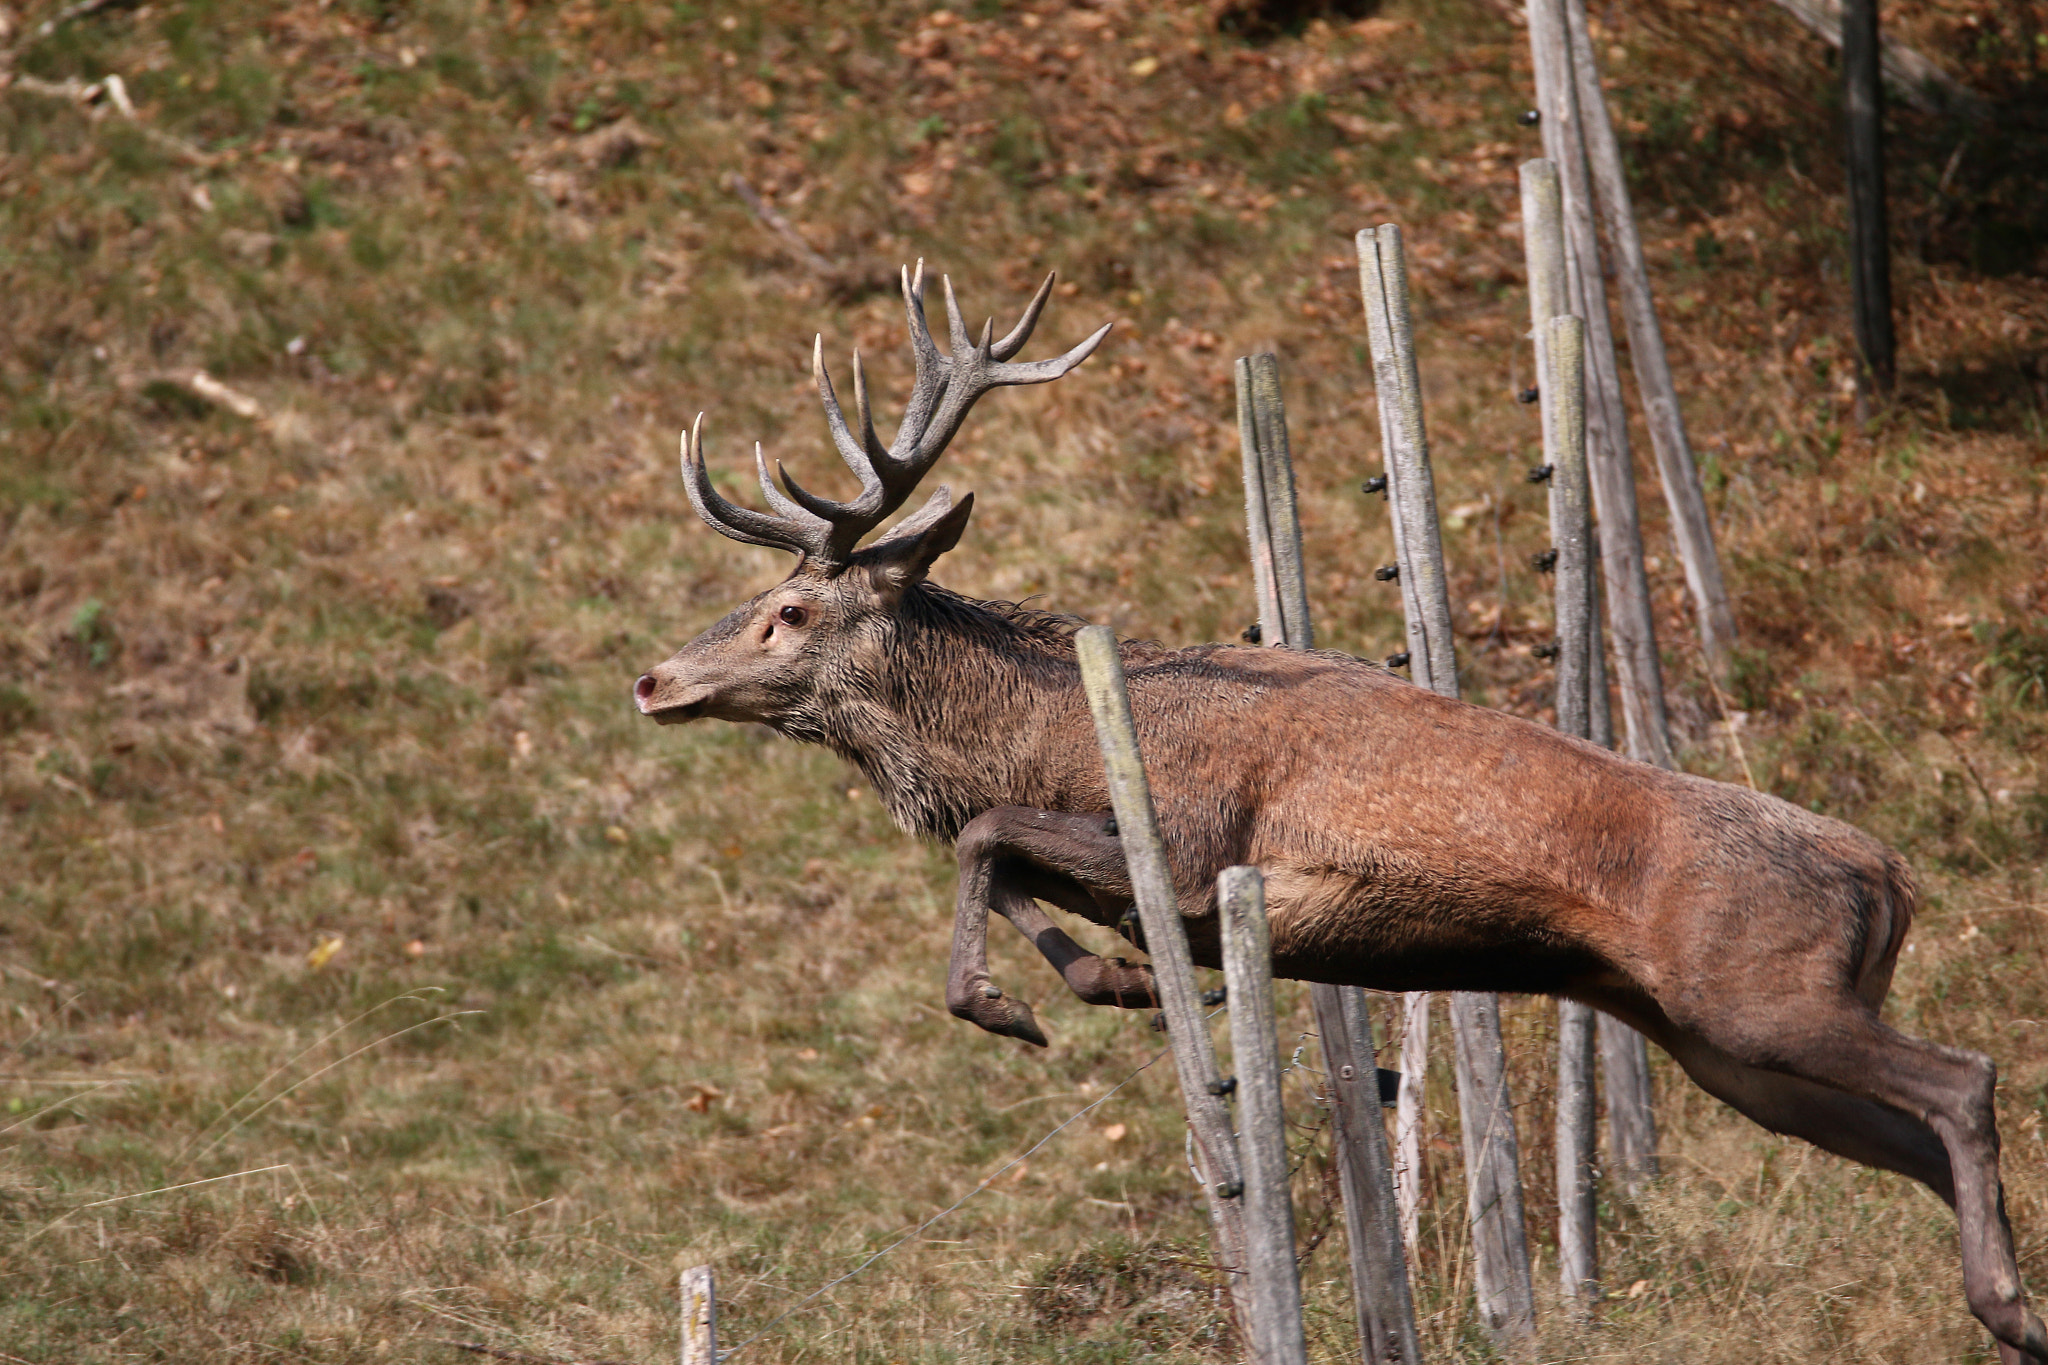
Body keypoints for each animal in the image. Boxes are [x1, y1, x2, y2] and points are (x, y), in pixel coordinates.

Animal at [631, 265, 2046, 1364]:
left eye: (791, 611)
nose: (651, 679)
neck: (1064, 740)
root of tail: (1890, 878)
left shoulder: (1194, 848)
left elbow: (987, 841)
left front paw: (1001, 1000)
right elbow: (1035, 886)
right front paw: (1108, 982)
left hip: (1757, 991)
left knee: (1965, 1079)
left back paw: (2003, 1300)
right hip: (1726, 1050)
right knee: (1914, 1133)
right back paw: (2011, 1310)